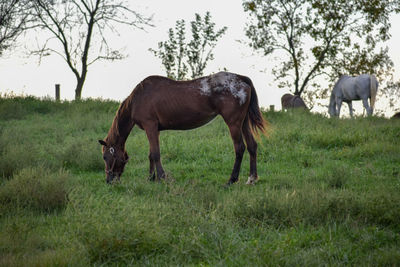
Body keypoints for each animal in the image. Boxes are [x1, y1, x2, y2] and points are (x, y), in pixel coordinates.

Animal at [98, 72, 268, 187]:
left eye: (105, 157)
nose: (108, 180)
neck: (137, 99)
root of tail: (241, 78)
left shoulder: (150, 126)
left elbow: (156, 153)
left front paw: (162, 178)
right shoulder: (154, 129)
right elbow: (151, 154)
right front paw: (151, 178)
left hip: (233, 123)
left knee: (239, 148)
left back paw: (231, 180)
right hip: (243, 122)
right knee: (252, 146)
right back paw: (251, 179)